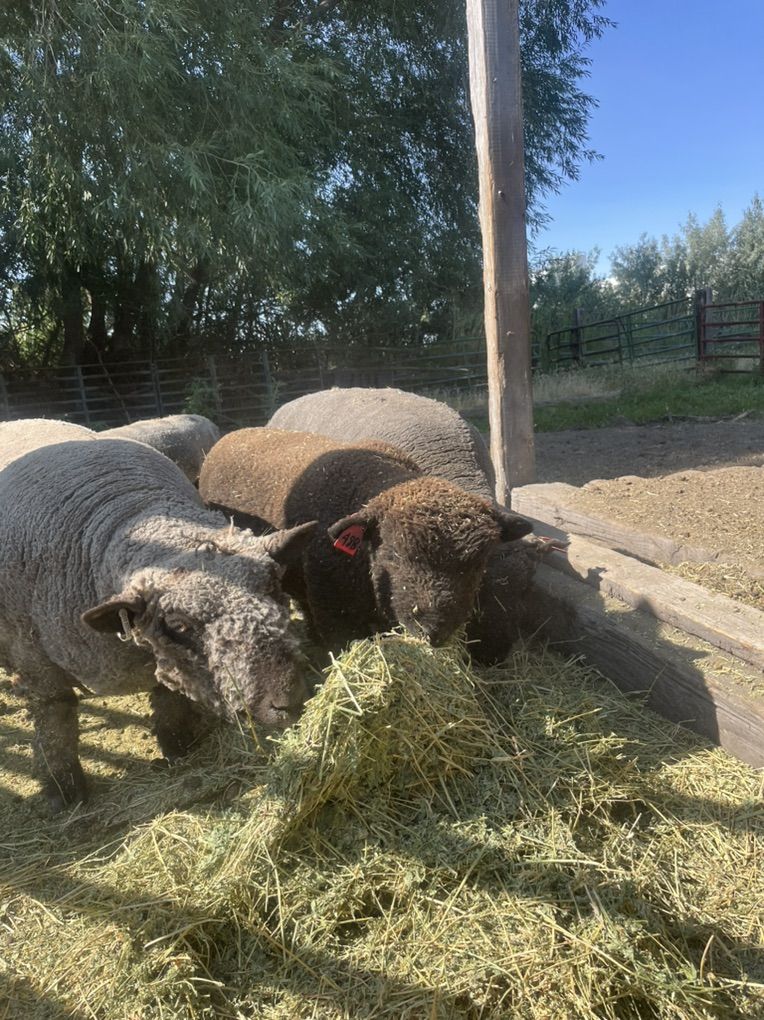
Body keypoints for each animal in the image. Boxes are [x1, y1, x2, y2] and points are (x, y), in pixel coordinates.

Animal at [0, 419, 315, 810]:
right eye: (179, 624)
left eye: (273, 585)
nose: (288, 702)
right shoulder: (34, 659)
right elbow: (55, 715)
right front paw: (63, 790)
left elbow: (169, 697)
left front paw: (177, 747)